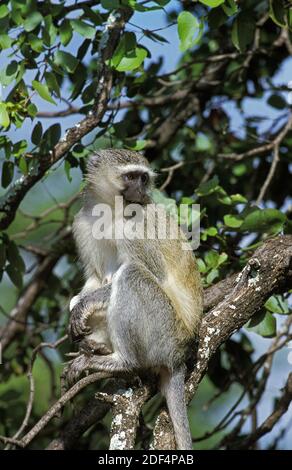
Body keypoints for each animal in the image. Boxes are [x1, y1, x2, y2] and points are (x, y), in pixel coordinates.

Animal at [68, 149, 203, 450]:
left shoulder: (136, 223)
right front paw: (79, 307)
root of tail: (179, 357)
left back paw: (121, 361)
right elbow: (94, 279)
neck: (111, 212)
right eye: (130, 177)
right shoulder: (82, 223)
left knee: (131, 275)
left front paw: (84, 306)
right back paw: (96, 347)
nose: (141, 191)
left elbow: (152, 273)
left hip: (164, 332)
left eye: (144, 178)